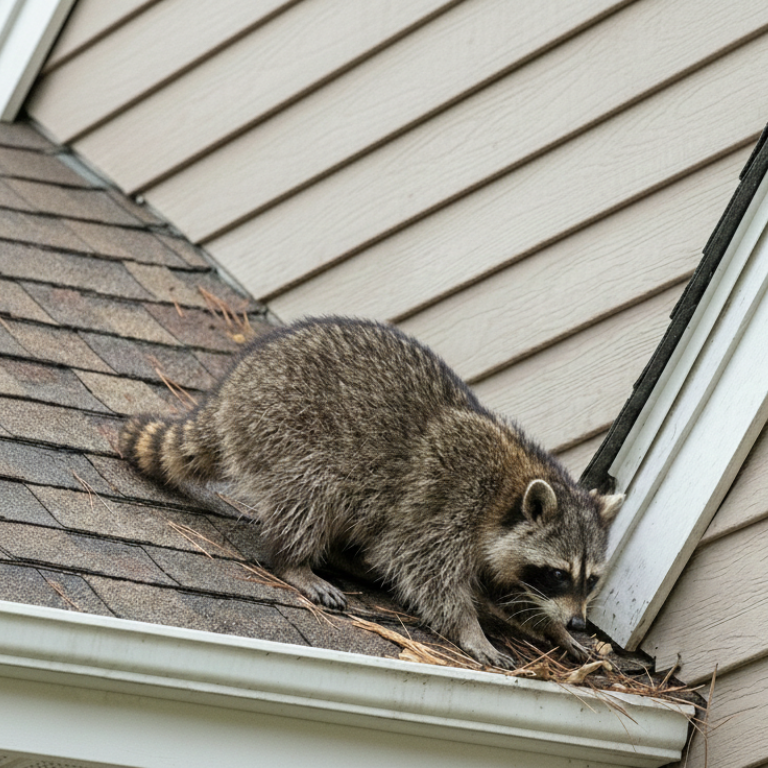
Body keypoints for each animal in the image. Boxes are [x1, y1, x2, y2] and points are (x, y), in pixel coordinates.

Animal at [120, 317, 622, 668]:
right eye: (558, 573)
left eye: (590, 580)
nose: (579, 620)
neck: (510, 487)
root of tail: (235, 383)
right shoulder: (449, 501)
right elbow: (428, 571)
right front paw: (471, 629)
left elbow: (509, 588)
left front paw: (555, 630)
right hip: (286, 424)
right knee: (312, 491)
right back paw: (294, 560)